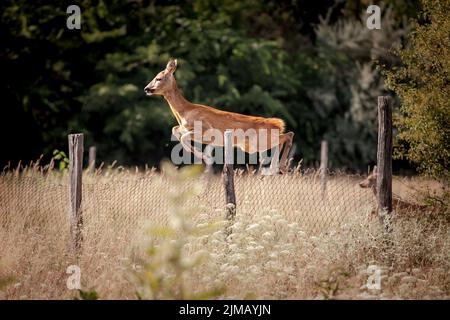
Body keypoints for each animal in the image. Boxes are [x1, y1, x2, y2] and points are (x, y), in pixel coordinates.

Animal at [144, 57, 296, 172]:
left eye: (158, 78)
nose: (146, 89)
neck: (184, 112)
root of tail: (276, 124)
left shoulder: (206, 129)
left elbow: (183, 136)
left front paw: (204, 156)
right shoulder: (182, 127)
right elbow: (175, 130)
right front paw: (201, 155)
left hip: (259, 141)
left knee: (288, 135)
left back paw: (279, 166)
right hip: (252, 145)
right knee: (285, 137)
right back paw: (277, 167)